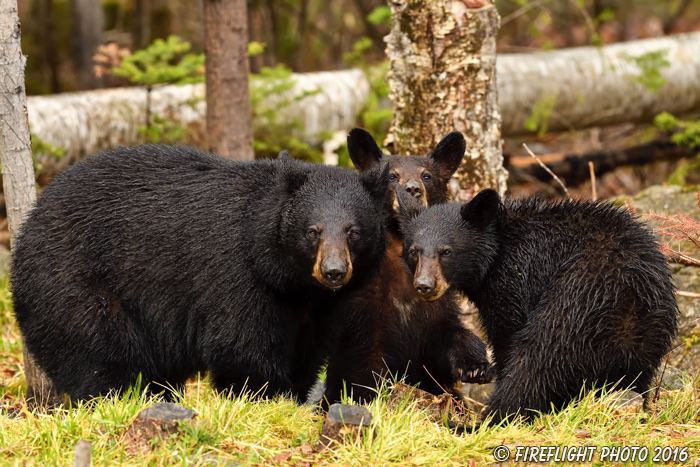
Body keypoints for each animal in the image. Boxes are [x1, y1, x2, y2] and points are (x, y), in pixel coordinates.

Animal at [10, 145, 392, 402]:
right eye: (313, 231)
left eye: (353, 232)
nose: (333, 272)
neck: (287, 278)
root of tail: (29, 223)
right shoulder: (237, 275)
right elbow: (241, 347)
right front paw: (262, 397)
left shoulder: (316, 307)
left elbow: (308, 351)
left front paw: (294, 395)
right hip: (74, 282)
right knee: (97, 351)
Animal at [322, 129, 492, 406]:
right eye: (392, 175)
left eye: (427, 175)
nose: (413, 189)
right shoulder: (365, 311)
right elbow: (364, 362)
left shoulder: (437, 306)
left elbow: (446, 339)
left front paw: (476, 367)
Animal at [400, 188, 680, 426]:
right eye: (414, 251)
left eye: (446, 251)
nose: (424, 285)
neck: (496, 252)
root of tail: (632, 296)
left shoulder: (512, 280)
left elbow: (506, 337)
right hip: (649, 336)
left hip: (575, 301)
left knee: (537, 361)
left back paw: (487, 420)